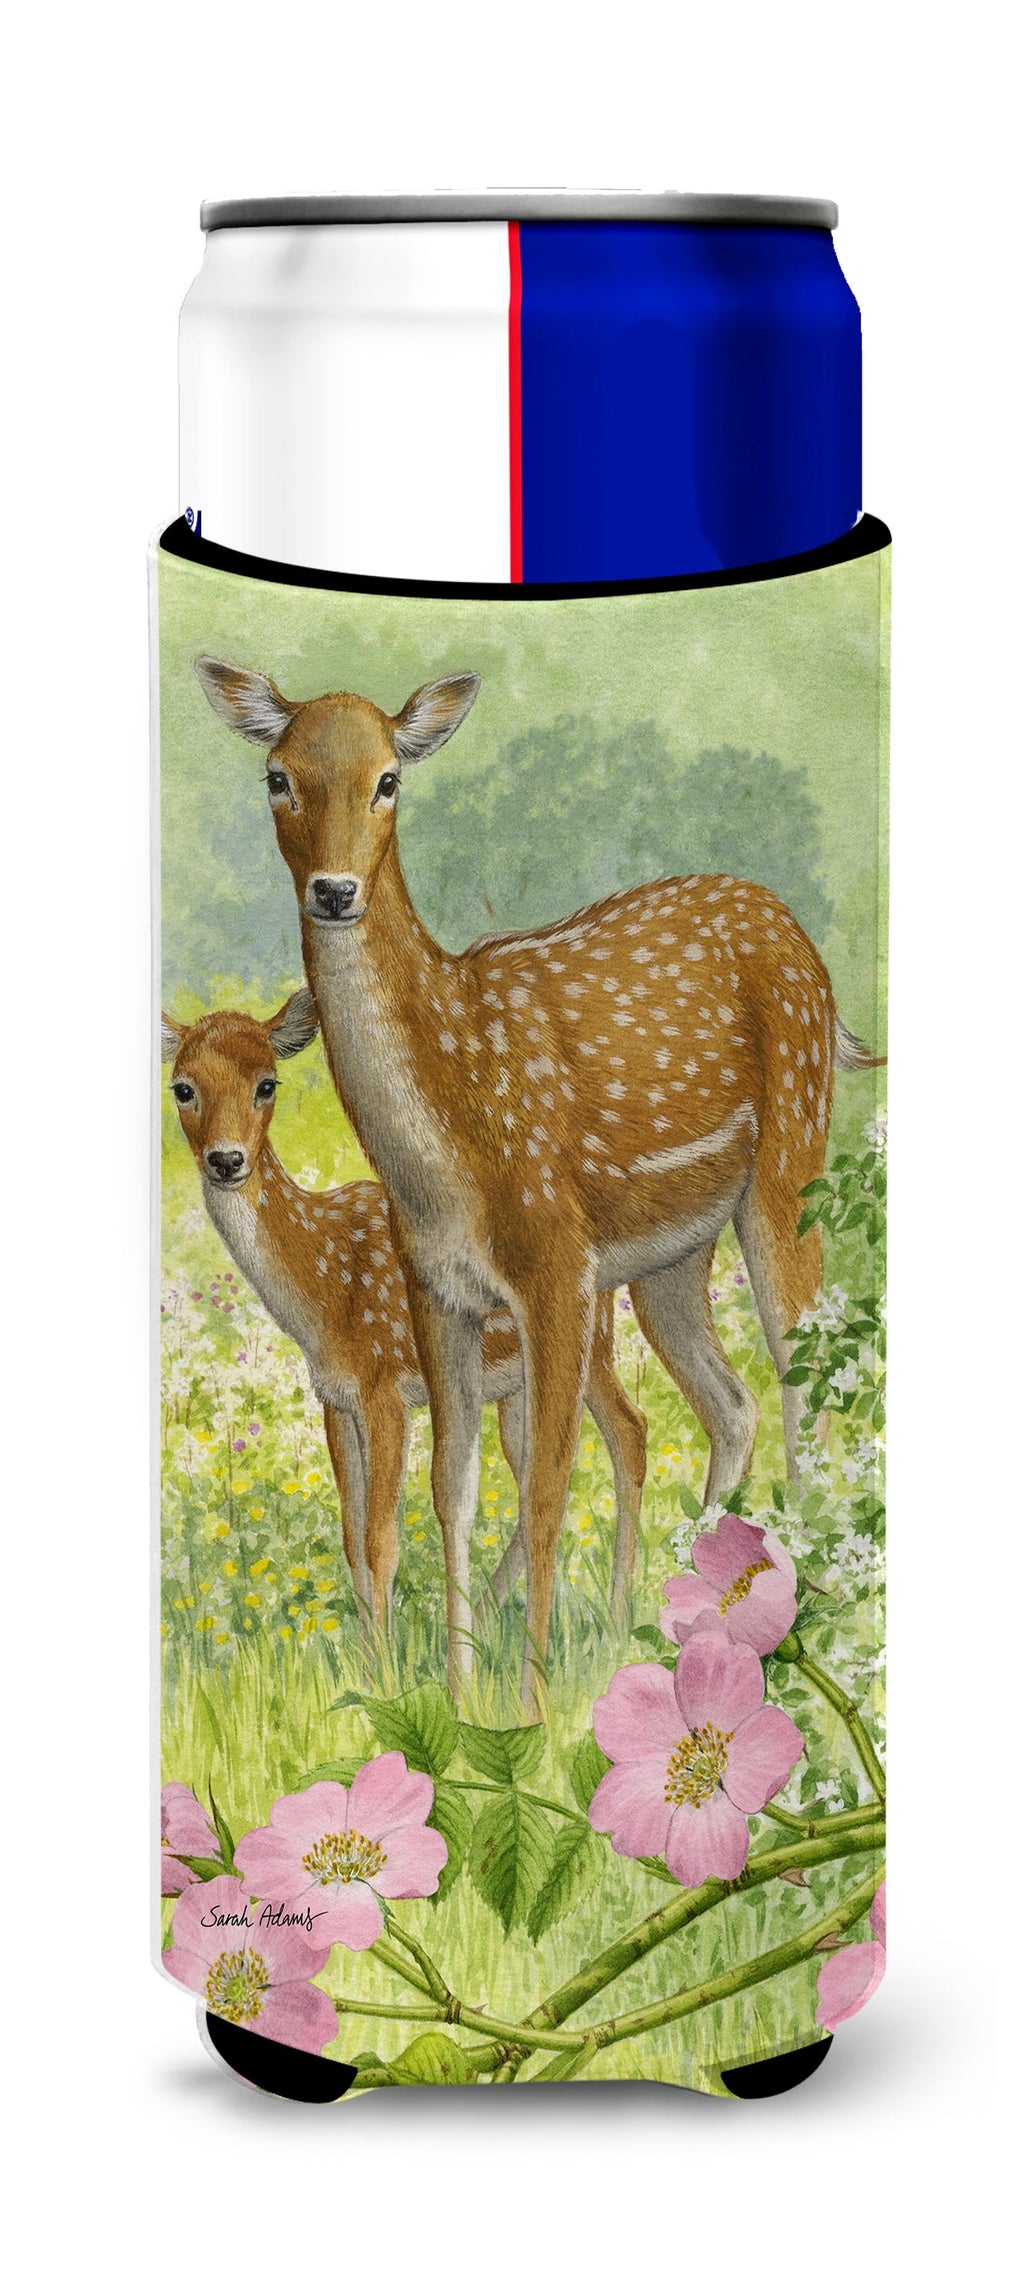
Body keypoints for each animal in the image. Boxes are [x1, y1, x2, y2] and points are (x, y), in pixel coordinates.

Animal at [161, 993, 648, 1638]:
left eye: (267, 1083)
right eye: (182, 1088)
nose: (226, 1160)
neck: (321, 1297)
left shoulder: (385, 1389)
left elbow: (380, 1542)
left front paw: (391, 1662)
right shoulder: (336, 1398)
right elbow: (351, 1540)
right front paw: (369, 1661)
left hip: (589, 1344)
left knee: (628, 1432)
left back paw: (615, 1622)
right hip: (515, 1385)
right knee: (532, 1478)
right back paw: (487, 1619)